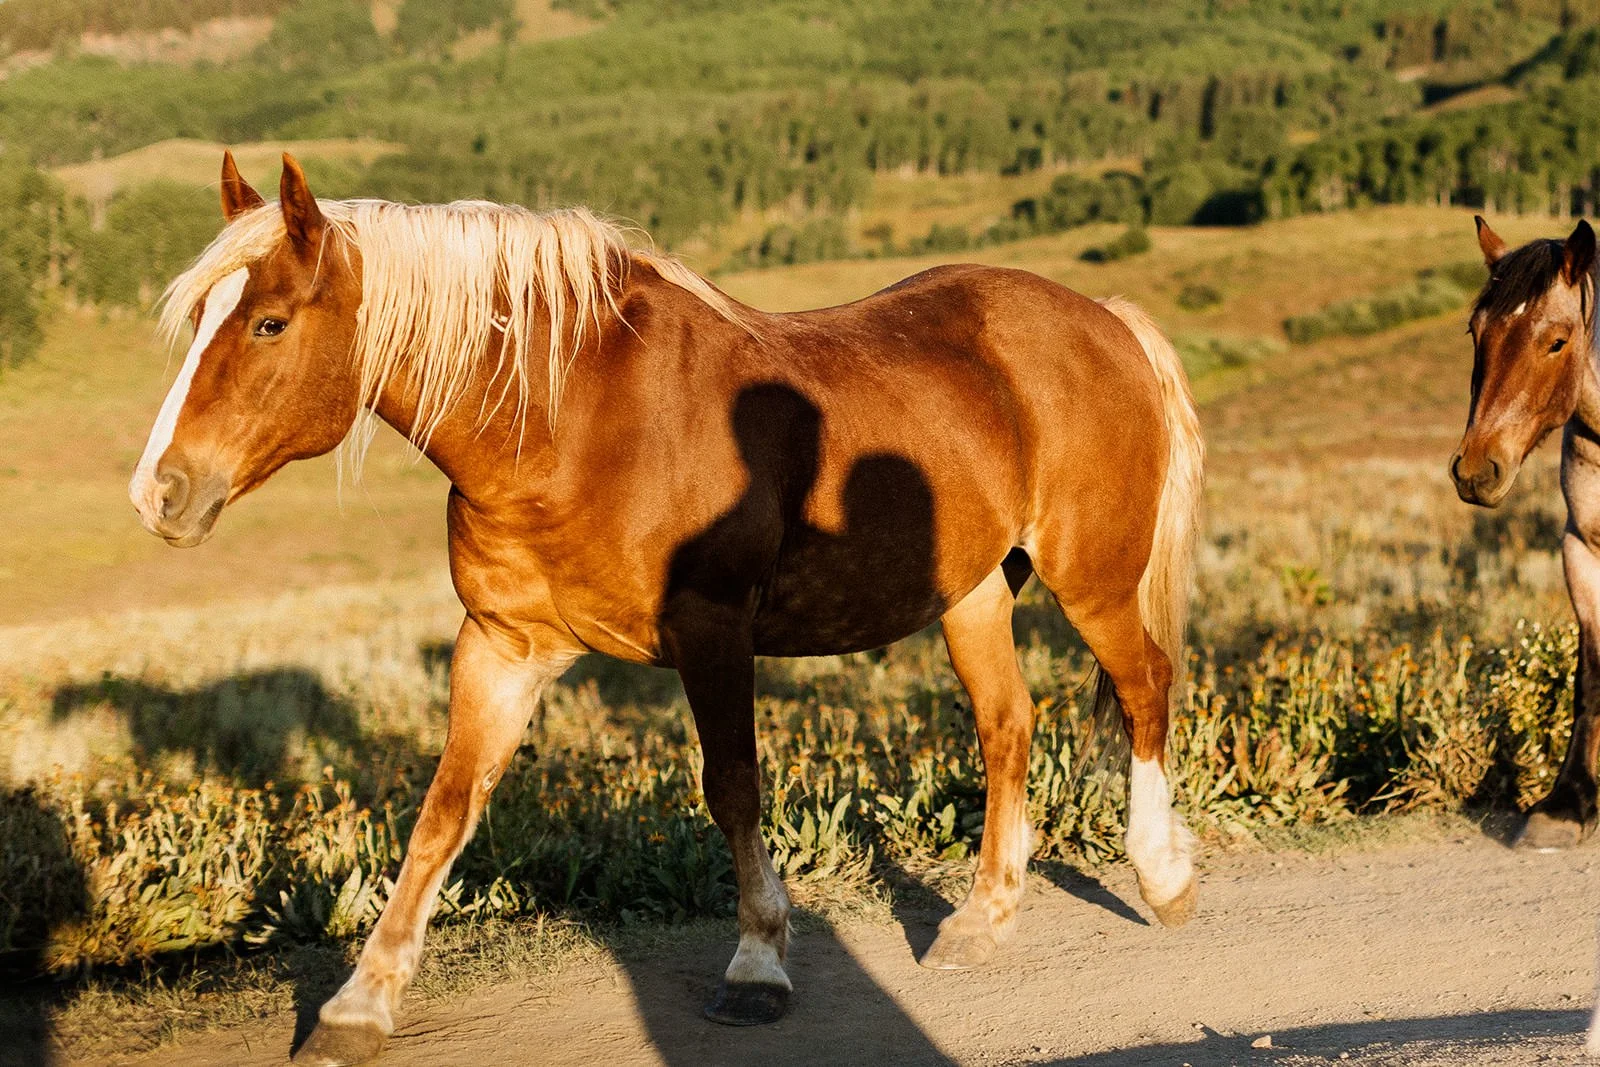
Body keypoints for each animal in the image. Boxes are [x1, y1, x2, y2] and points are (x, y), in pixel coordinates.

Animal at [130, 153, 1204, 1065]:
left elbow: (731, 788)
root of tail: (1106, 320)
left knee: (1144, 688)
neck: (571, 424)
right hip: (973, 594)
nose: (158, 493)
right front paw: (360, 1004)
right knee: (1007, 724)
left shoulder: (712, 632)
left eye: (268, 322)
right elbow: (444, 811)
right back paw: (983, 918)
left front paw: (759, 963)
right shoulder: (502, 647)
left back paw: (1161, 876)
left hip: (1092, 578)